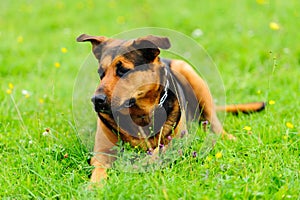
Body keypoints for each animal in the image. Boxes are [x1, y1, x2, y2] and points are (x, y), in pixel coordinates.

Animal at [75, 34, 264, 183]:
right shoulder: (101, 154)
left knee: (214, 123)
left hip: (188, 72)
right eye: (100, 73)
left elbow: (157, 152)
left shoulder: (178, 142)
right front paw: (93, 187)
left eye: (123, 70)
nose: (96, 100)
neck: (140, 113)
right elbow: (99, 171)